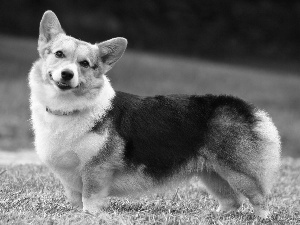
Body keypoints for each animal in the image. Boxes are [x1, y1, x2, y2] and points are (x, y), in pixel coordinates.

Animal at [29, 10, 280, 218]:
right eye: (59, 54)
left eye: (84, 64)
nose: (67, 74)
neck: (68, 108)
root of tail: (248, 108)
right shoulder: (70, 178)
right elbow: (76, 200)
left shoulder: (96, 171)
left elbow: (90, 199)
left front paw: (89, 216)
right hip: (212, 173)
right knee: (232, 201)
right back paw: (213, 216)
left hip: (239, 172)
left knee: (260, 198)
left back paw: (262, 218)